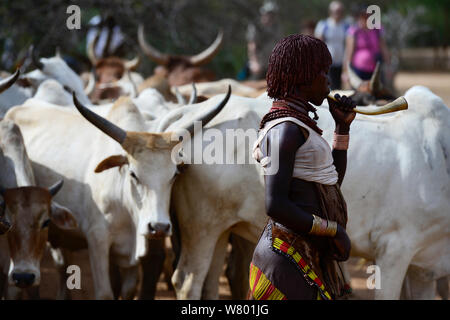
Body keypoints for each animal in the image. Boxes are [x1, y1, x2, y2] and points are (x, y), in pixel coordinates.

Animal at [171, 85, 448, 300]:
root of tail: (189, 115)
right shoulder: (393, 250)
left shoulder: (424, 268)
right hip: (202, 227)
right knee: (187, 281)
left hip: (221, 227)